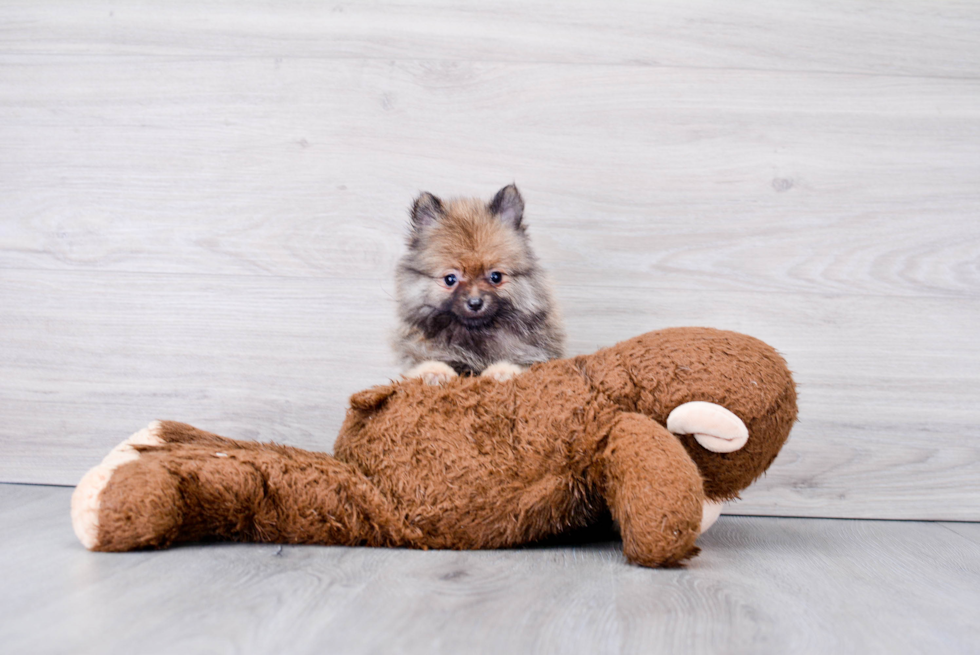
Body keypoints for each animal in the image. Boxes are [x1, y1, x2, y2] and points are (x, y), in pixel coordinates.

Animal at [392, 183, 568, 384]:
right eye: (450, 279)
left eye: (496, 277)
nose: (475, 303)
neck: (475, 333)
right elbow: (426, 365)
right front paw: (434, 374)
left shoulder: (533, 357)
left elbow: (517, 365)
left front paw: (502, 372)